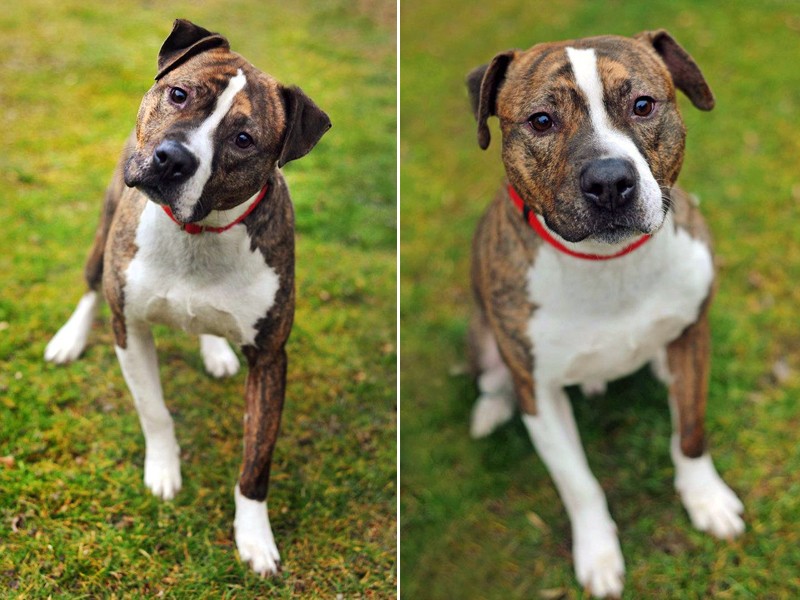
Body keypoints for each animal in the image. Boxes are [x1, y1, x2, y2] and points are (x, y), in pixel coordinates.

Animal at [44, 16, 332, 576]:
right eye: (179, 94)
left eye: (243, 139)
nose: (173, 159)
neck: (198, 234)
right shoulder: (130, 329)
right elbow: (154, 410)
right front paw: (163, 471)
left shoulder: (270, 358)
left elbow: (256, 460)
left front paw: (254, 536)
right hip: (104, 232)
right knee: (90, 287)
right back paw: (70, 338)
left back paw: (215, 349)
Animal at [466, 30, 748, 596]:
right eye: (541, 120)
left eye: (642, 105)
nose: (610, 181)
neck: (608, 264)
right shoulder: (541, 395)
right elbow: (579, 485)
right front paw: (597, 554)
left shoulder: (692, 336)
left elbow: (690, 432)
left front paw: (705, 499)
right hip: (486, 340)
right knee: (493, 379)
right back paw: (490, 409)